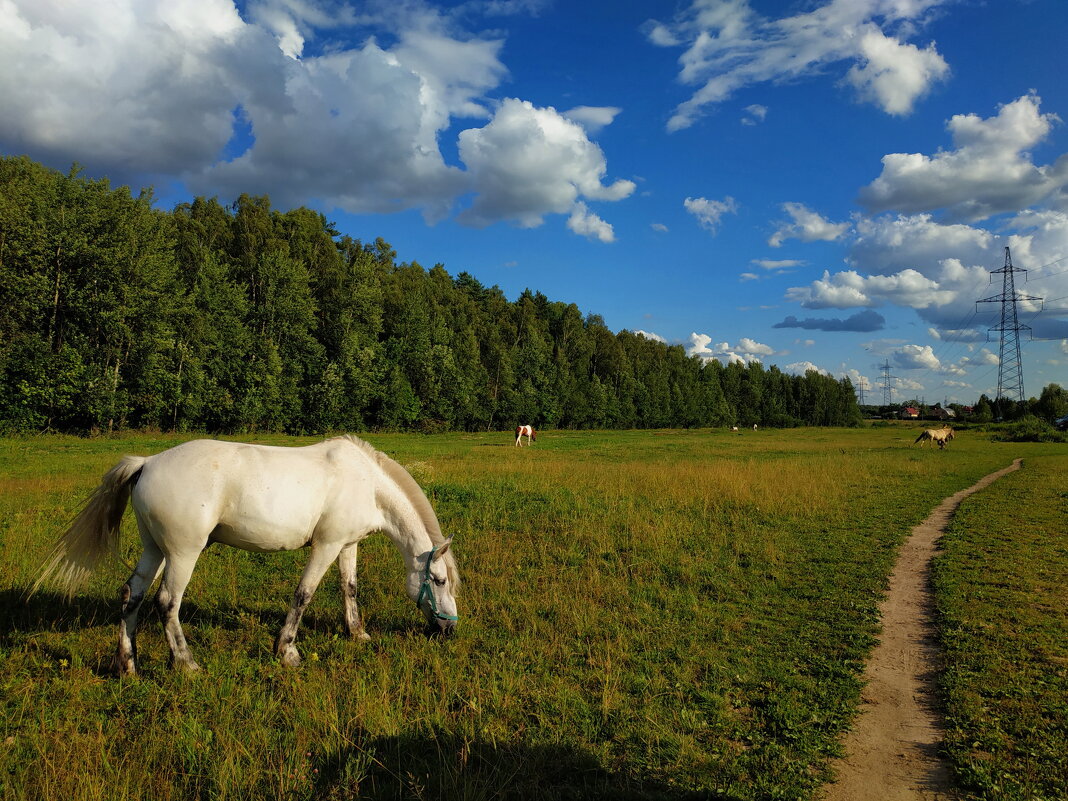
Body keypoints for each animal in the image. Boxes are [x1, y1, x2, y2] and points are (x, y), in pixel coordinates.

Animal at [32, 435, 459, 674]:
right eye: (438, 580)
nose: (449, 629)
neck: (366, 483)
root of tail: (147, 463)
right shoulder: (326, 545)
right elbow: (304, 594)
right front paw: (287, 652)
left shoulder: (346, 545)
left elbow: (348, 588)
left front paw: (358, 634)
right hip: (183, 553)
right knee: (167, 602)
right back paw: (186, 664)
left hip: (155, 550)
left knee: (131, 596)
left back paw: (128, 665)